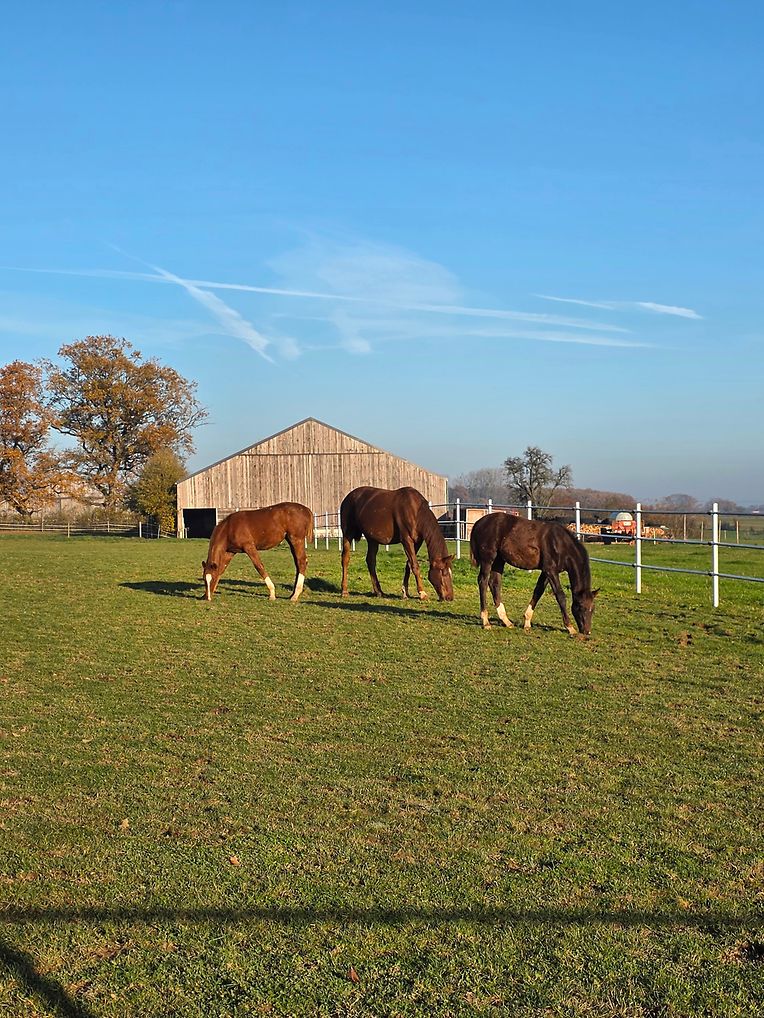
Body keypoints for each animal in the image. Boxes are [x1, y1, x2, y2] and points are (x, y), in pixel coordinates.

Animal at [469, 512, 599, 634]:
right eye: (581, 607)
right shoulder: (551, 570)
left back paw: (506, 621)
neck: (561, 544)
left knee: (494, 583)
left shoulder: (546, 572)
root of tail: (478, 523)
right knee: (483, 581)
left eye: (592, 608)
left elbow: (538, 591)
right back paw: (486, 622)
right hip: (488, 560)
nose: (587, 631)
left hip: (499, 560)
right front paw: (570, 627)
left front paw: (527, 622)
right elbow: (560, 595)